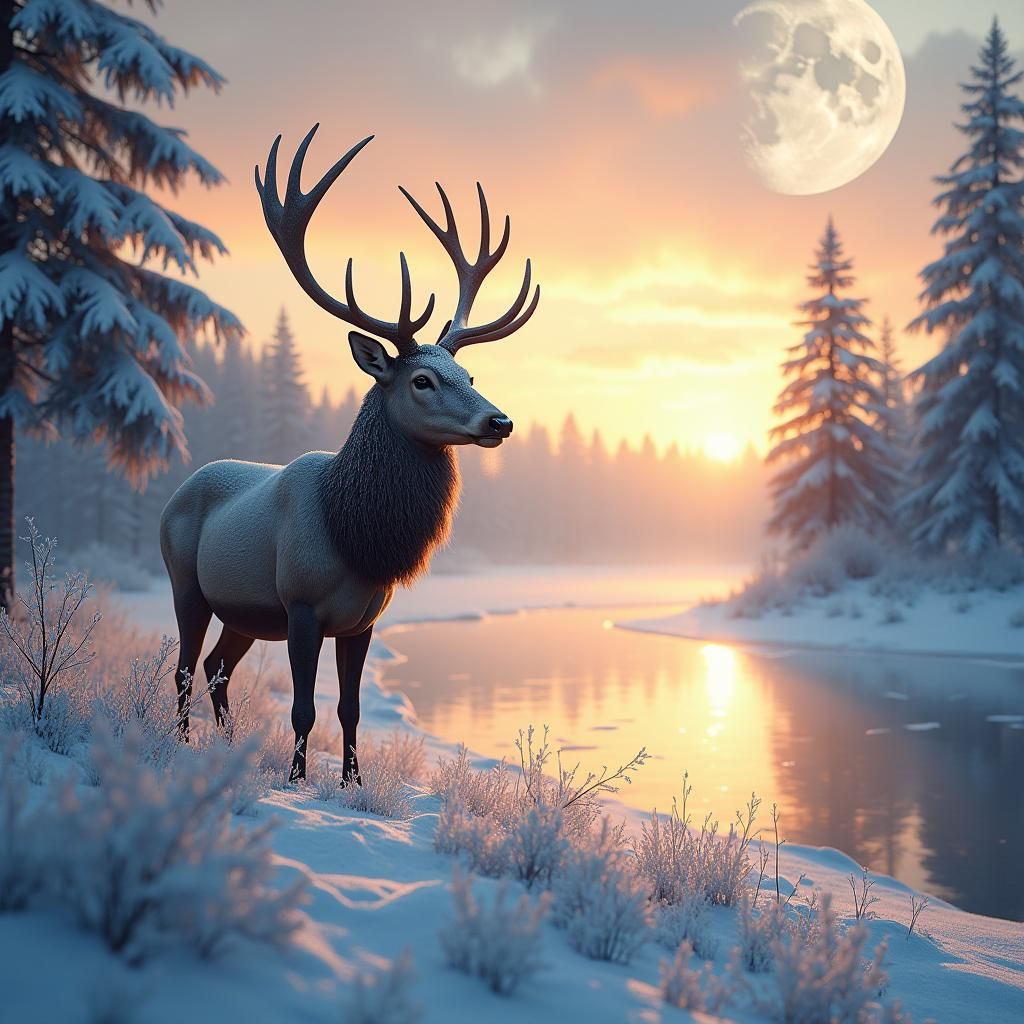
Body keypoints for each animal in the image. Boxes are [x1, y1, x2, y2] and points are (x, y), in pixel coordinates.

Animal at [159, 125, 539, 782]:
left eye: (467, 373)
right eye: (422, 381)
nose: (500, 420)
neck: (355, 534)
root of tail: (179, 488)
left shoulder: (364, 620)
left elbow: (351, 709)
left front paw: (352, 782)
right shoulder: (301, 604)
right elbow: (304, 709)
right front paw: (296, 779)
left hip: (243, 612)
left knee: (215, 667)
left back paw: (228, 748)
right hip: (186, 580)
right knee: (185, 665)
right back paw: (184, 746)